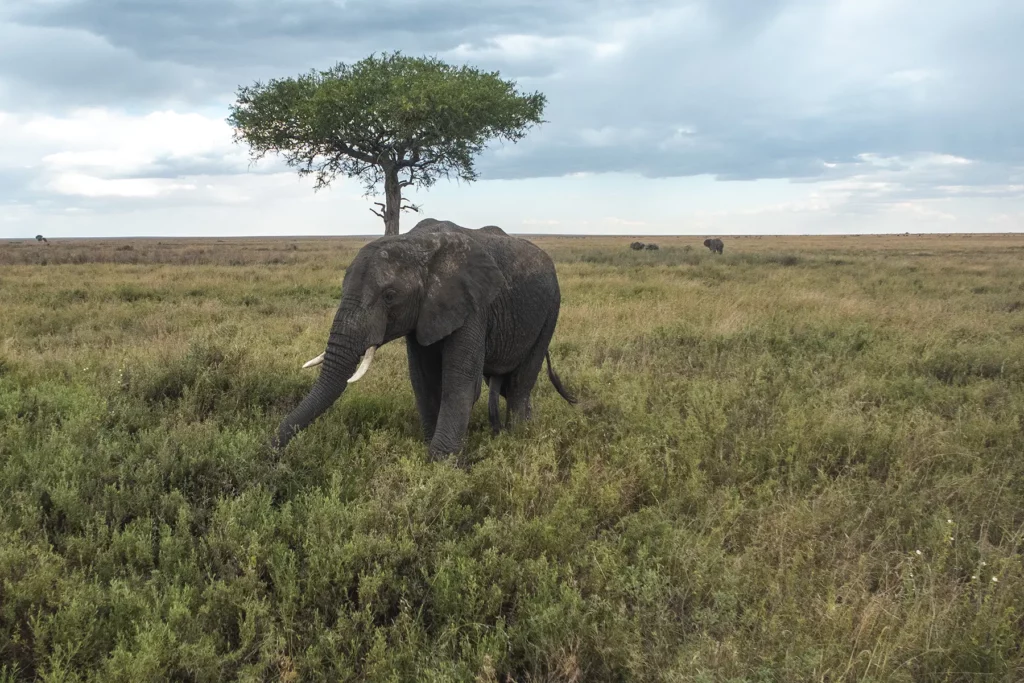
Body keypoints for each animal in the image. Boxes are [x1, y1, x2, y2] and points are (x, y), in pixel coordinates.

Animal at [275, 218, 577, 459]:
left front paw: (440, 466)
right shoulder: (423, 314)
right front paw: (431, 455)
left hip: (551, 308)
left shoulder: (473, 305)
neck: (418, 243)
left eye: (390, 296)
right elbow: (423, 380)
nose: (272, 453)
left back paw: (519, 438)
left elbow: (460, 383)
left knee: (519, 384)